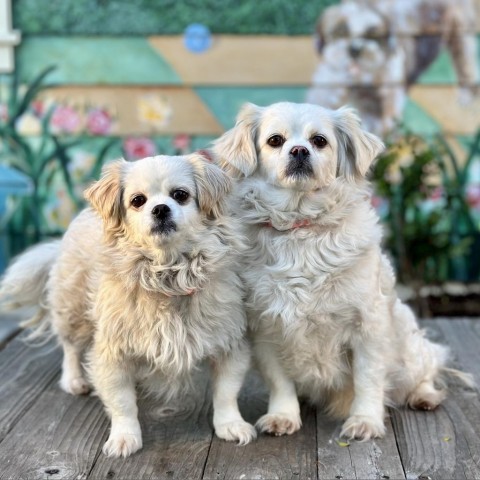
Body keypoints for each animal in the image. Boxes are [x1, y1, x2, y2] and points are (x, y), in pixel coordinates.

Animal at [0, 155, 255, 458]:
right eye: (137, 201)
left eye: (180, 195)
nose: (160, 209)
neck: (167, 274)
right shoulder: (112, 353)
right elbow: (122, 403)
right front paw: (124, 438)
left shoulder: (230, 345)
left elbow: (226, 393)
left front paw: (231, 425)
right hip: (72, 309)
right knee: (70, 347)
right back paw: (74, 380)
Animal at [212, 103, 466, 440]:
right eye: (275, 141)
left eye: (319, 141)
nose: (299, 150)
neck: (300, 225)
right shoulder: (266, 331)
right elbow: (279, 382)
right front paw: (282, 416)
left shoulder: (368, 327)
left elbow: (368, 379)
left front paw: (365, 421)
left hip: (409, 347)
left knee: (425, 369)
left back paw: (424, 396)